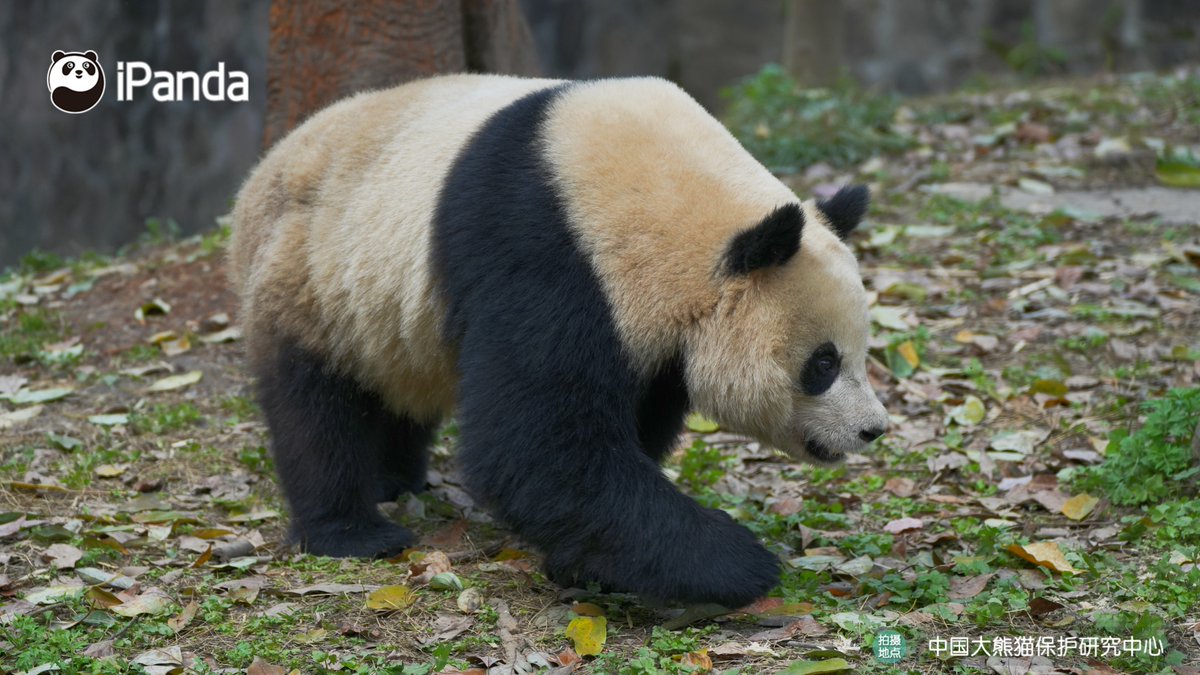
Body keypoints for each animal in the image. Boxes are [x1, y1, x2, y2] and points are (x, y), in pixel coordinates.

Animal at [230, 74, 889, 608]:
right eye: (823, 364)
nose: (872, 430)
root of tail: (257, 178)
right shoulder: (545, 250)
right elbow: (538, 446)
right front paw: (737, 561)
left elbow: (624, 426)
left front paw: (593, 563)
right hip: (310, 273)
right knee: (317, 410)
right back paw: (355, 531)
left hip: (380, 312)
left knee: (396, 384)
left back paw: (399, 478)